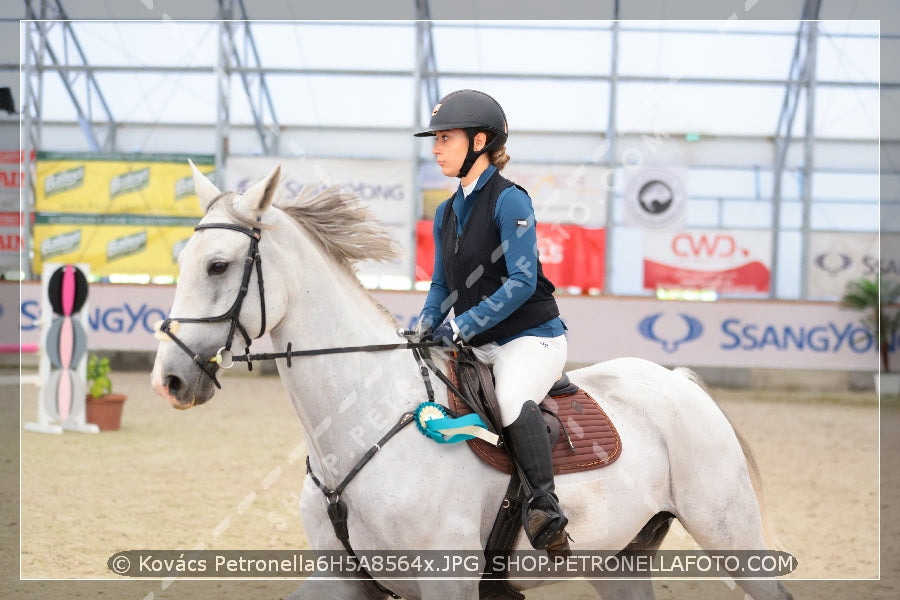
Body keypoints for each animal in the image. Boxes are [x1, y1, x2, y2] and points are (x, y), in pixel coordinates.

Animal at [153, 164, 796, 600]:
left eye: (218, 266)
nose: (171, 380)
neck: (361, 428)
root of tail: (679, 382)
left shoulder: (448, 581)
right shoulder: (340, 577)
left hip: (730, 534)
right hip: (619, 560)